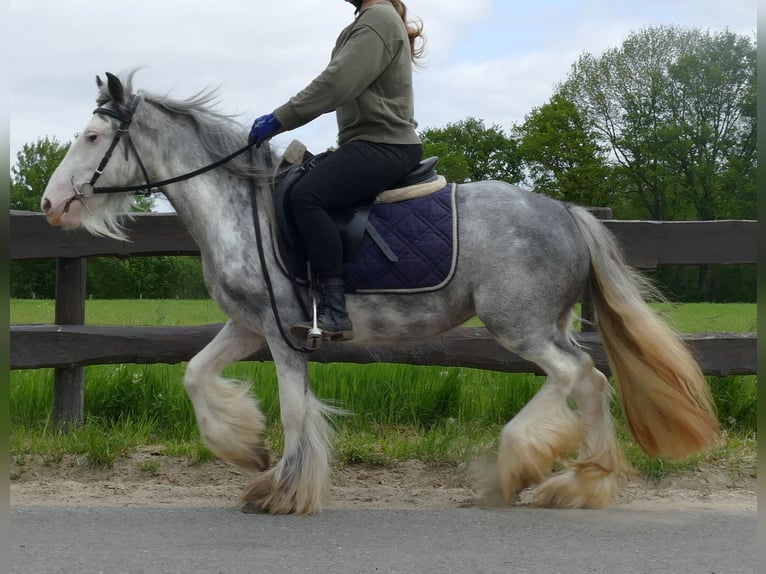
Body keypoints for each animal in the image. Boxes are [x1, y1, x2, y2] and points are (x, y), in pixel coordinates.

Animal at [39, 72, 720, 516]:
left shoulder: (283, 334)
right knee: (591, 380)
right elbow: (194, 374)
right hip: (543, 323)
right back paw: (582, 483)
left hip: (519, 324)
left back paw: (522, 466)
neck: (239, 206)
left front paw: (283, 492)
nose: (50, 204)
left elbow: (295, 411)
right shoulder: (248, 327)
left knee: (576, 376)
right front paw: (248, 451)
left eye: (93, 137)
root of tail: (567, 213)